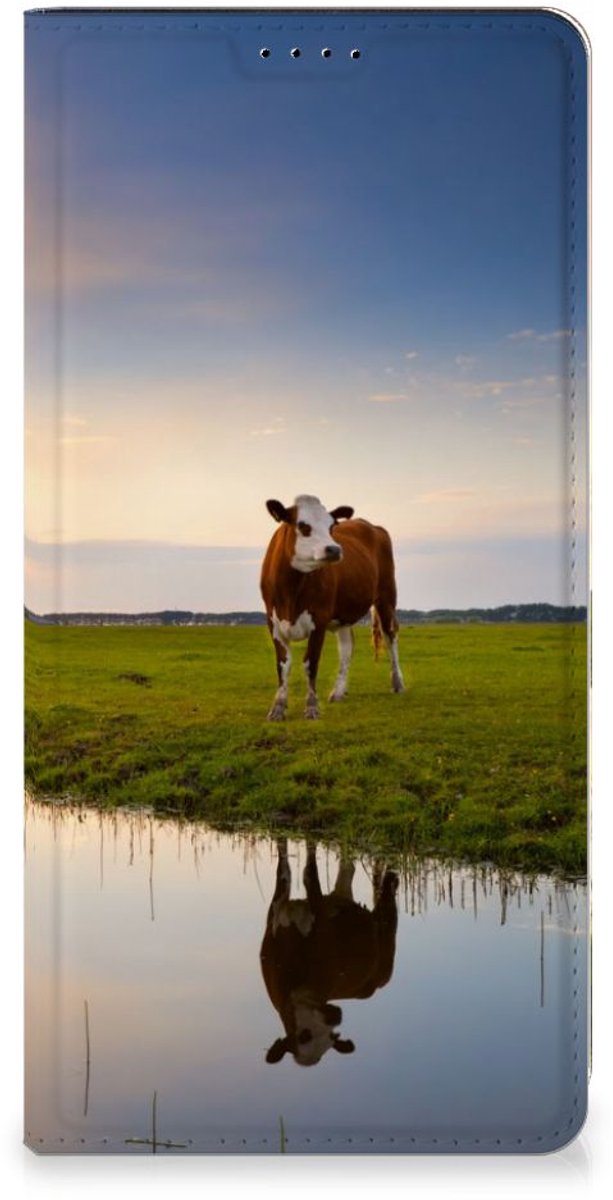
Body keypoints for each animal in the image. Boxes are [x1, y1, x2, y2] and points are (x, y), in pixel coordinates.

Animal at [260, 494, 404, 720]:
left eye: (331, 526)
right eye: (303, 526)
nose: (335, 549)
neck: (291, 590)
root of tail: (371, 525)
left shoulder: (319, 619)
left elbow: (311, 663)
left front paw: (311, 707)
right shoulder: (273, 622)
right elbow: (283, 665)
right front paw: (278, 708)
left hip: (386, 597)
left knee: (391, 637)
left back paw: (397, 682)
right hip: (344, 614)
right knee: (347, 647)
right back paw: (338, 691)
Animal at [260, 839, 399, 1067]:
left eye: (331, 1038)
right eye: (304, 1036)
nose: (336, 1017)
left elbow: (309, 874)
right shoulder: (276, 909)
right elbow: (284, 868)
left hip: (387, 941)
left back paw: (392, 879)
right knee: (347, 869)